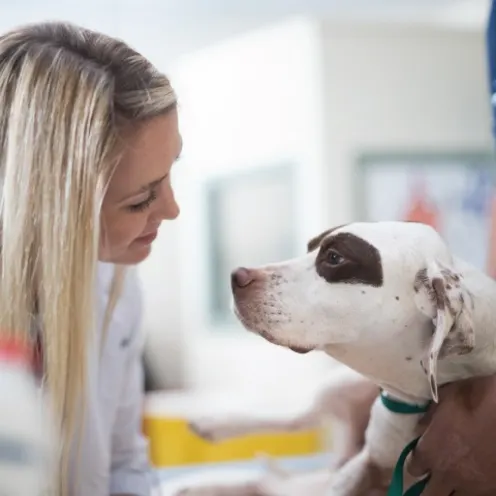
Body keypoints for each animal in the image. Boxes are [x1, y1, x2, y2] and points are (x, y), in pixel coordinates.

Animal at [177, 223, 496, 494]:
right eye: (309, 247)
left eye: (334, 257)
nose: (236, 276)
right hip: (338, 385)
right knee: (298, 420)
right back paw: (212, 429)